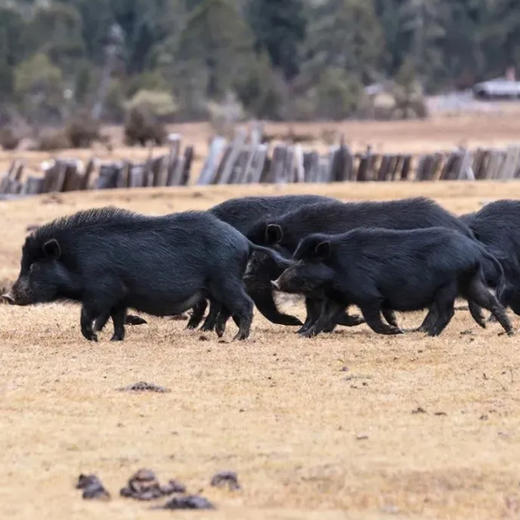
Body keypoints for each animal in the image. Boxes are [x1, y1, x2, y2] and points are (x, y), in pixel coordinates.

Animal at [5, 207, 276, 342]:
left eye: (34, 266)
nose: (8, 296)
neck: (75, 260)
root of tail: (245, 242)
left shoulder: (101, 291)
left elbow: (87, 315)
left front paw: (93, 338)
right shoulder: (120, 296)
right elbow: (117, 317)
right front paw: (115, 339)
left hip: (225, 279)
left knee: (245, 304)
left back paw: (237, 338)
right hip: (219, 284)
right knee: (223, 308)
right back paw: (215, 333)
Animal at [272, 228, 512, 338]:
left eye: (304, 261)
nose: (274, 281)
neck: (337, 269)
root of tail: (476, 249)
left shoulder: (368, 295)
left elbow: (372, 319)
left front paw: (395, 331)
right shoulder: (339, 298)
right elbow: (325, 317)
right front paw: (304, 335)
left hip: (448, 286)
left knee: (446, 312)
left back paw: (424, 334)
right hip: (470, 281)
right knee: (491, 302)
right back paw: (509, 331)